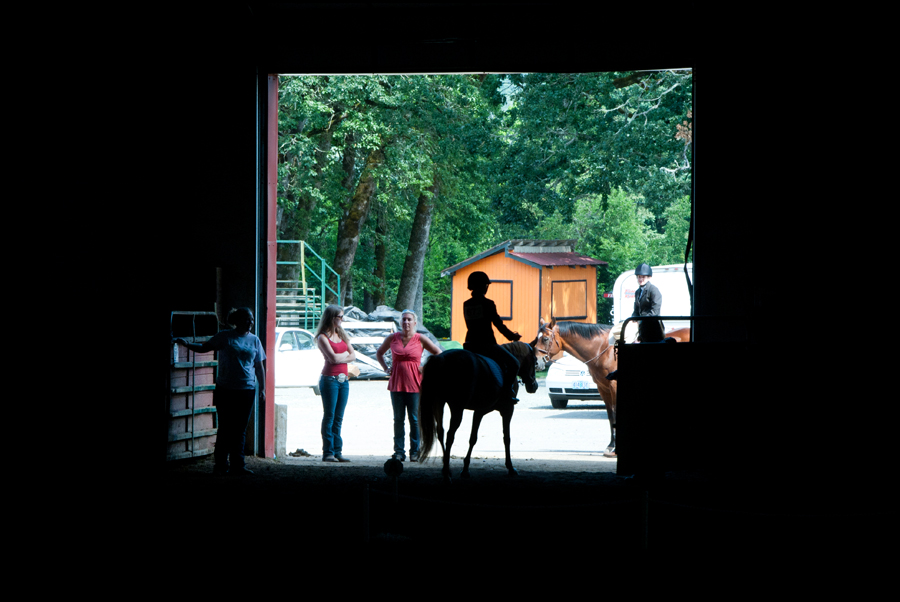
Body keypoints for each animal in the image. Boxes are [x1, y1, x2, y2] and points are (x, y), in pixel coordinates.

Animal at [418, 341, 539, 483]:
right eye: (535, 360)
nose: (534, 386)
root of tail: (441, 358)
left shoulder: (479, 412)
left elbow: (473, 438)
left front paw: (465, 469)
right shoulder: (508, 410)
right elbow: (506, 438)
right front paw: (510, 467)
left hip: (438, 403)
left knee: (440, 432)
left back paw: (445, 469)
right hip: (456, 407)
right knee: (449, 436)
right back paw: (447, 473)